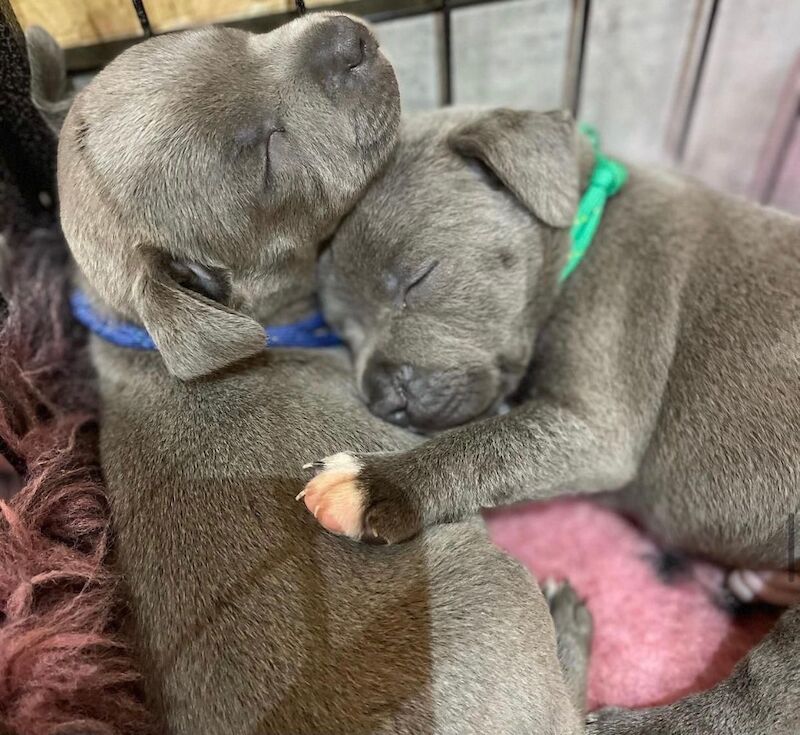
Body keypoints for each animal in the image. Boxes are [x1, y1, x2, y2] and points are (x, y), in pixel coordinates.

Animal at [304, 109, 796, 735]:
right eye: (339, 330)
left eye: (419, 278)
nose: (382, 398)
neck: (584, 228)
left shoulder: (599, 411)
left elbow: (490, 441)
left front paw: (378, 482)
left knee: (761, 696)